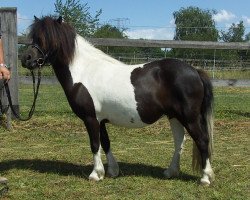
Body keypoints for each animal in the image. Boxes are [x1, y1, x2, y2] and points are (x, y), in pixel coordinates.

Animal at [21, 16, 215, 186]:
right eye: (33, 36)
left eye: (47, 38)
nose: (26, 59)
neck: (83, 72)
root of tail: (195, 71)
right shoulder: (100, 120)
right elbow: (105, 143)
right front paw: (112, 171)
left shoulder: (90, 118)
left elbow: (95, 144)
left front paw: (95, 174)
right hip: (174, 116)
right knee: (179, 142)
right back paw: (170, 172)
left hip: (189, 117)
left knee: (202, 140)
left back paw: (205, 178)